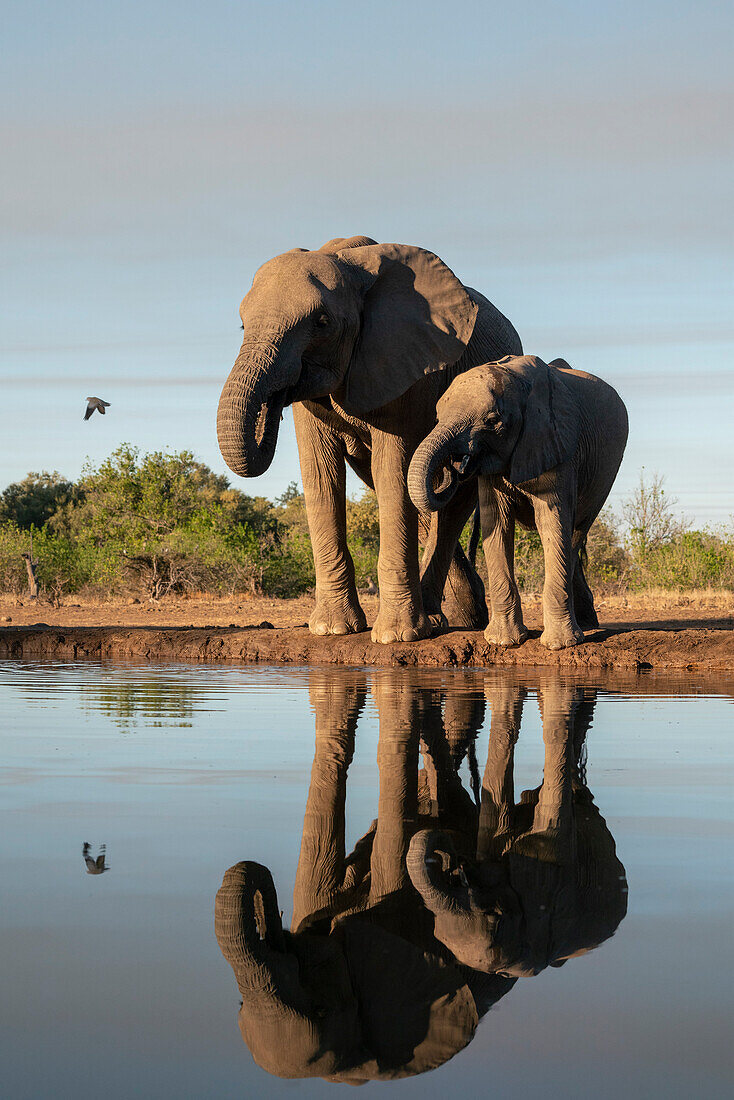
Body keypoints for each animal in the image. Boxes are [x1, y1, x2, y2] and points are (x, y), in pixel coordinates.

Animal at [217, 236, 521, 642]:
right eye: (242, 324)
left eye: (322, 323)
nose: (274, 404)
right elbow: (321, 472)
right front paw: (331, 630)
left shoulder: (407, 360)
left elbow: (393, 468)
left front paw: (396, 637)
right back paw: (450, 618)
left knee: (449, 503)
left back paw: (444, 620)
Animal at [407, 356, 625, 646]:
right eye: (438, 418)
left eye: (492, 420)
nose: (455, 464)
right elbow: (496, 523)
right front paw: (503, 641)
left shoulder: (556, 443)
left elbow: (552, 523)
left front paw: (559, 645)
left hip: (604, 477)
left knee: (576, 534)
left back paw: (582, 629)